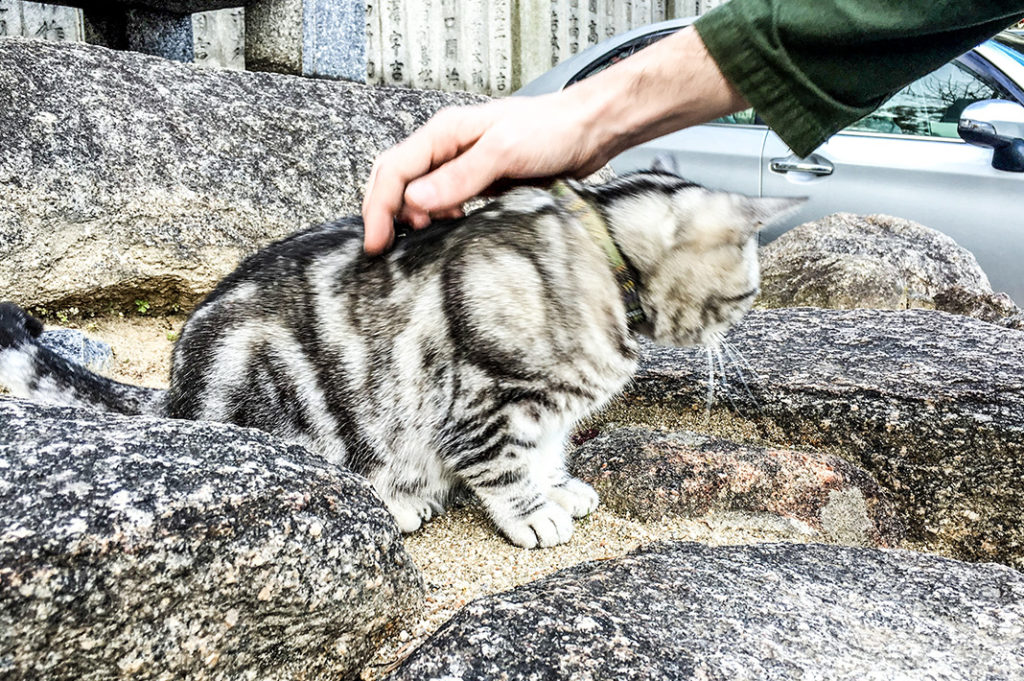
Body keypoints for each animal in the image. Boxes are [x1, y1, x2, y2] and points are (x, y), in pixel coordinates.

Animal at [0, 171, 798, 548]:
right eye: (749, 290)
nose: (745, 321)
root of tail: (171, 393)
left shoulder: (546, 414)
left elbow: (544, 453)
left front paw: (560, 487)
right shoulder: (485, 401)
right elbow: (507, 470)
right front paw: (535, 514)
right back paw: (401, 499)